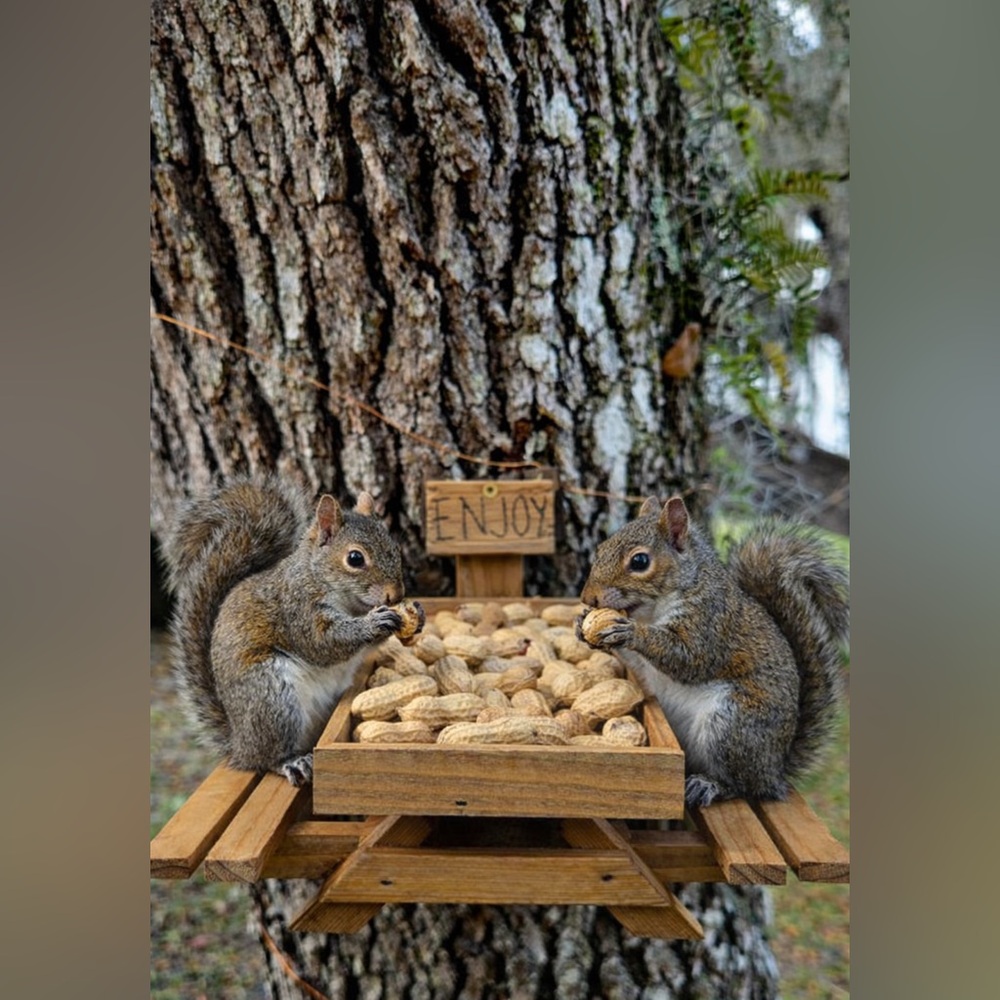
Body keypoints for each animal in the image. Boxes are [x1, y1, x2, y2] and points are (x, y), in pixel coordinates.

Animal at [161, 475, 420, 787]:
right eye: (355, 558)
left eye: (394, 546)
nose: (397, 594)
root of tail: (240, 745)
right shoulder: (297, 610)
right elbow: (323, 643)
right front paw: (374, 623)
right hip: (271, 697)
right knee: (267, 758)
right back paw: (290, 762)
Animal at [577, 495, 848, 808]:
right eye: (601, 548)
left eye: (640, 561)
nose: (588, 598)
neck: (653, 611)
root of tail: (775, 770)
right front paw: (580, 625)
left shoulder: (711, 623)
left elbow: (689, 658)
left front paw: (633, 633)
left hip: (732, 725)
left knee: (745, 786)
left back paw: (710, 785)